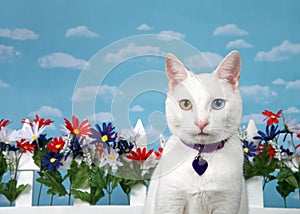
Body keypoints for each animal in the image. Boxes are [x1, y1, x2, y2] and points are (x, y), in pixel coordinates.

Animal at [143, 51, 248, 213]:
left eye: (218, 104)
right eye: (185, 104)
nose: (201, 122)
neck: (202, 153)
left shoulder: (226, 205)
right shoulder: (170, 202)